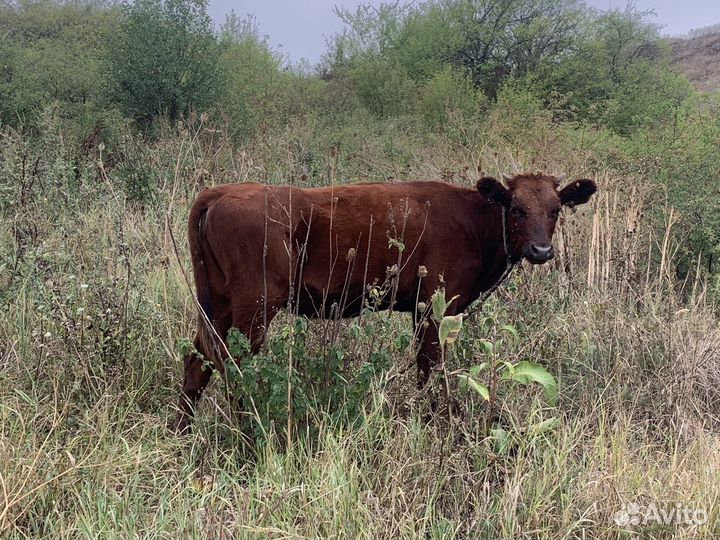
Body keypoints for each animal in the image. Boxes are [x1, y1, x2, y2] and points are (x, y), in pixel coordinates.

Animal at [174, 173, 596, 434]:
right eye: (516, 208)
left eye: (556, 209)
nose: (541, 250)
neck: (474, 219)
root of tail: (219, 193)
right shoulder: (435, 307)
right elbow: (430, 368)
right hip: (255, 308)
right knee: (231, 365)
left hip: (219, 305)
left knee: (198, 361)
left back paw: (182, 430)